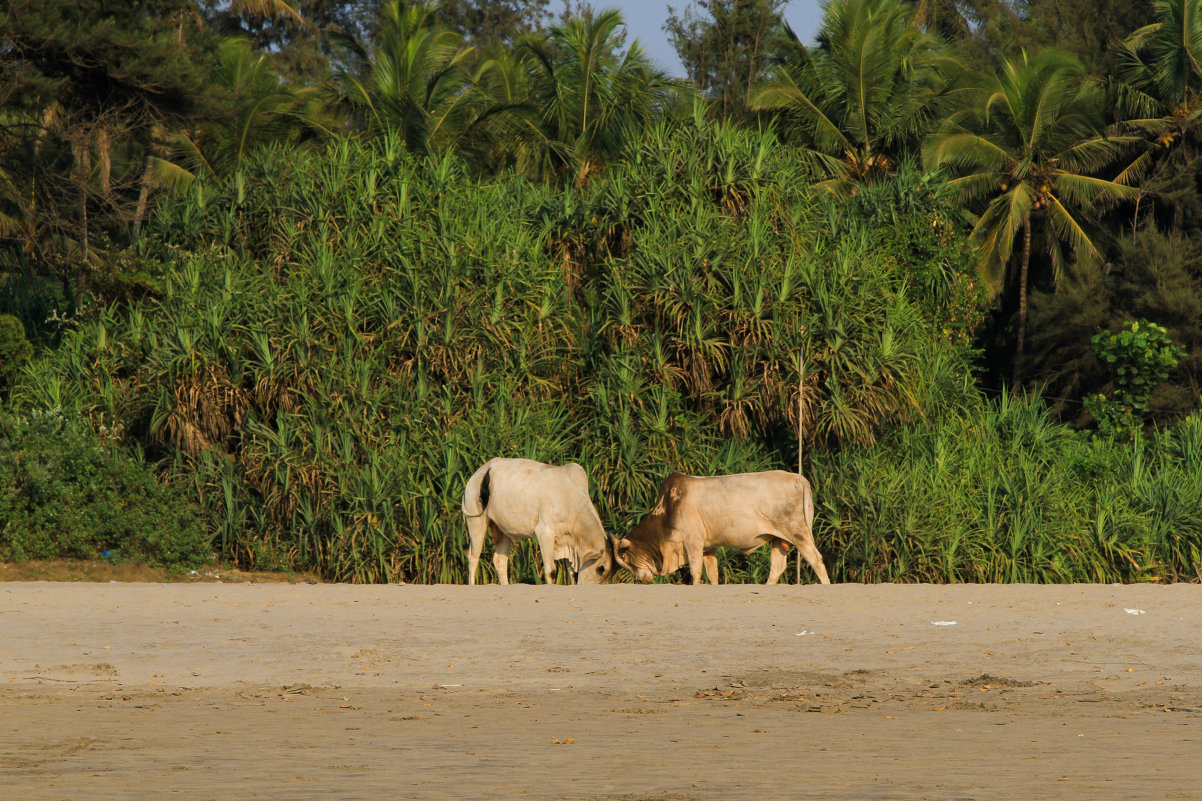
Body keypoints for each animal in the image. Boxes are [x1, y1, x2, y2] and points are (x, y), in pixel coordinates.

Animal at [456, 459, 615, 584]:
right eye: (601, 568)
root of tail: (482, 471)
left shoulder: (569, 541)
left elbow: (571, 573)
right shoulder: (545, 534)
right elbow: (551, 571)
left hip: (503, 530)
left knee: (500, 561)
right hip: (476, 523)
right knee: (473, 557)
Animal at [615, 469, 831, 586]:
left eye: (625, 558)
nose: (640, 580)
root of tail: (798, 478)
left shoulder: (693, 541)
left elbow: (695, 571)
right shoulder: (708, 547)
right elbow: (713, 573)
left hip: (798, 532)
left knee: (816, 560)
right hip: (779, 539)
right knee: (777, 567)